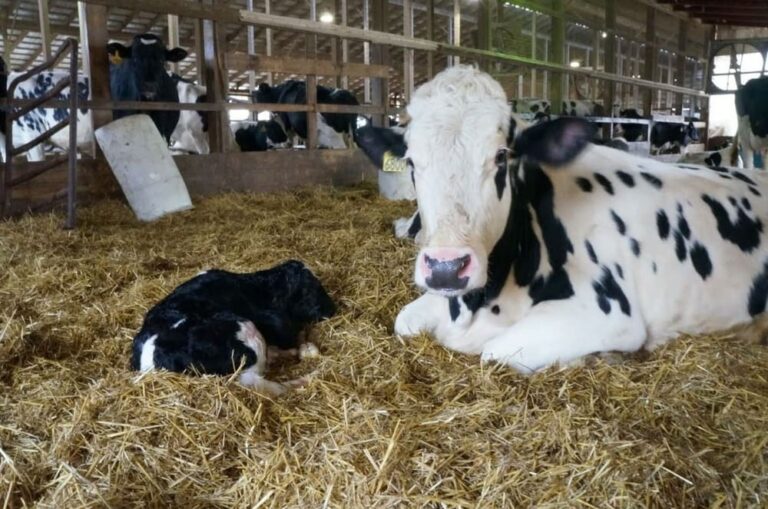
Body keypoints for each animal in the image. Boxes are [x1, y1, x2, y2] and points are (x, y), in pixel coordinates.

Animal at [392, 64, 768, 374]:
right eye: (410, 161)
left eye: (501, 156)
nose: (446, 267)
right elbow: (403, 322)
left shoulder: (608, 314)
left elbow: (494, 353)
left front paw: (597, 358)